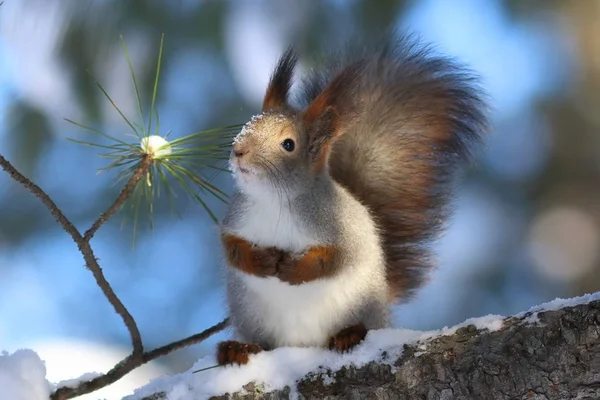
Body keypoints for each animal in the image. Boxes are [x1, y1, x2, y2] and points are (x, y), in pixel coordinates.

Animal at [216, 32, 488, 366]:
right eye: (248, 124)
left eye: (288, 144)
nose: (239, 150)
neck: (274, 201)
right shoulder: (236, 218)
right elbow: (231, 247)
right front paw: (259, 261)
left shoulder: (341, 227)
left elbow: (339, 258)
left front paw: (296, 270)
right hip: (251, 316)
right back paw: (238, 348)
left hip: (360, 306)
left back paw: (350, 334)